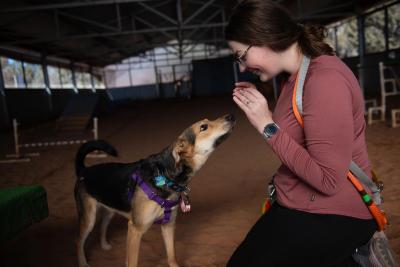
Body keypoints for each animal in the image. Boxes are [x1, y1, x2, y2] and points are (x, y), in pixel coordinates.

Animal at [73, 114, 234, 267]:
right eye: (204, 127)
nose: (230, 116)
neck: (165, 175)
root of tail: (84, 171)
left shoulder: (168, 226)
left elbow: (172, 257)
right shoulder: (135, 229)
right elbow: (132, 262)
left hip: (110, 209)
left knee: (102, 226)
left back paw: (104, 245)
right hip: (89, 218)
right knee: (79, 241)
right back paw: (82, 262)